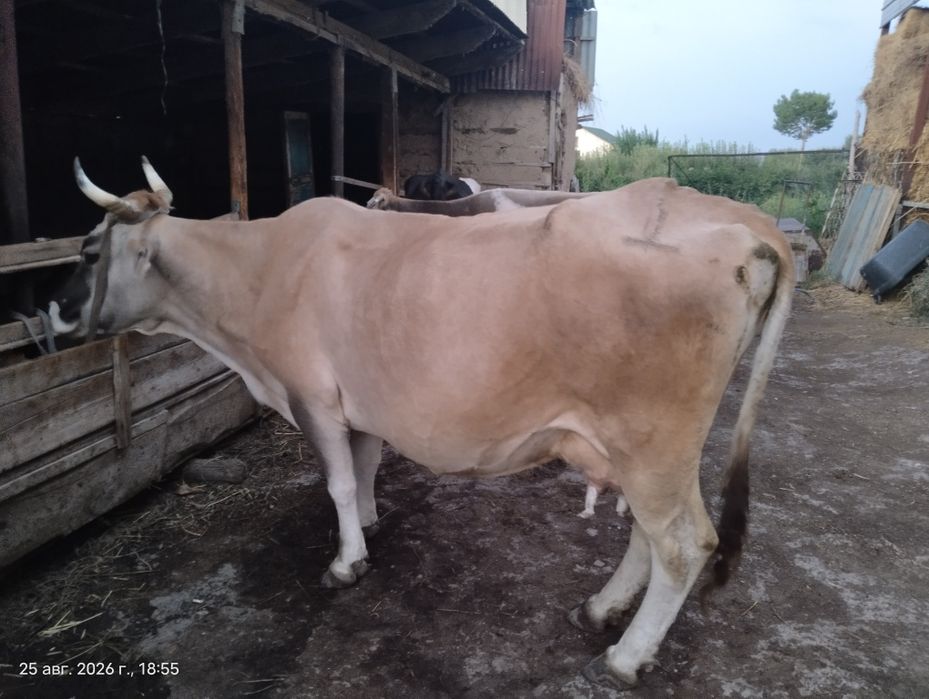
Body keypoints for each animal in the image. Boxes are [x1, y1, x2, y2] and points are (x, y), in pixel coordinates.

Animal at [49, 157, 793, 688]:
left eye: (86, 252)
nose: (52, 316)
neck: (258, 272)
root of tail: (746, 233)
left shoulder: (310, 394)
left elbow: (337, 483)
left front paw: (346, 560)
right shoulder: (359, 400)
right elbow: (365, 467)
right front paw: (370, 523)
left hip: (651, 440)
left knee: (683, 544)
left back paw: (625, 656)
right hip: (649, 450)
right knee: (651, 532)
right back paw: (600, 609)